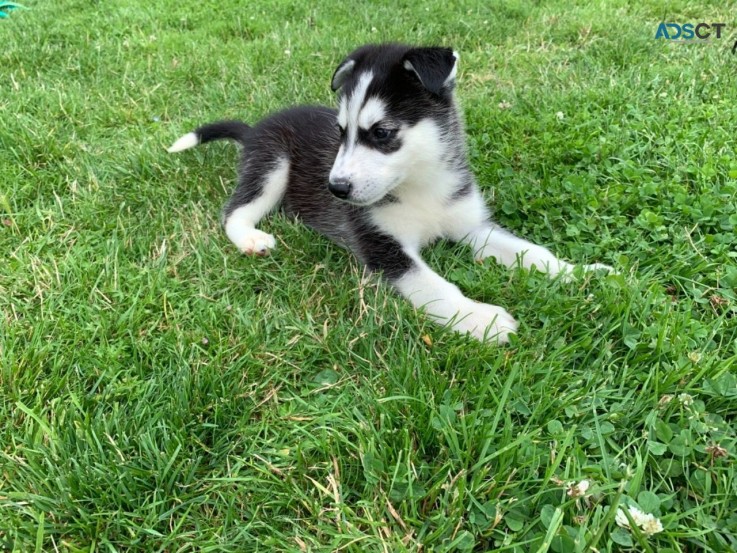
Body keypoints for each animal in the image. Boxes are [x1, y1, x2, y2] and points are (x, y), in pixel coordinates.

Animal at [170, 44, 612, 340]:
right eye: (341, 131)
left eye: (381, 133)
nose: (335, 188)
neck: (421, 186)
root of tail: (254, 128)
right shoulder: (383, 245)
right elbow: (437, 287)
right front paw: (481, 319)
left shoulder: (473, 226)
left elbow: (533, 252)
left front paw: (581, 274)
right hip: (273, 163)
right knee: (234, 211)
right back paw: (251, 238)